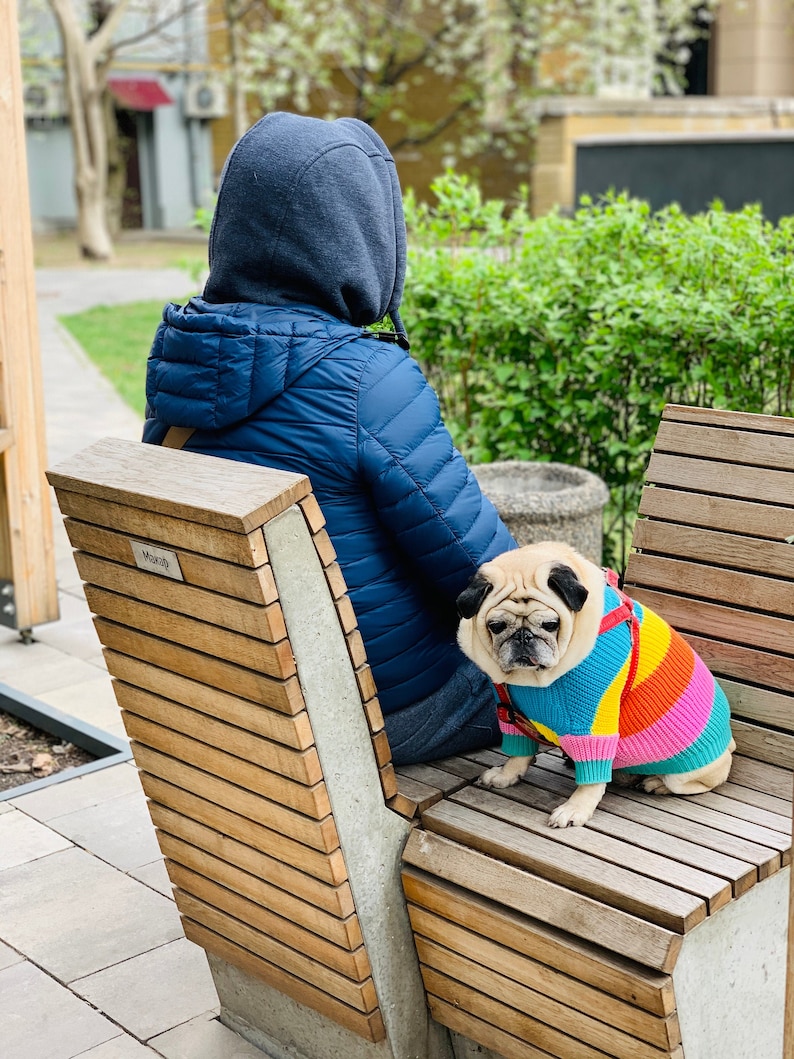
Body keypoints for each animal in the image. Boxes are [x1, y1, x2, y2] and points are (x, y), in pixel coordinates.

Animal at [457, 546, 736, 826]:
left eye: (551, 625)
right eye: (496, 626)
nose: (523, 637)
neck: (532, 680)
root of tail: (729, 744)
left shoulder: (591, 720)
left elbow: (592, 772)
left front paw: (576, 807)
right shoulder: (510, 713)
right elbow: (519, 752)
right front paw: (507, 775)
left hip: (687, 772)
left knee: (690, 783)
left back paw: (655, 782)